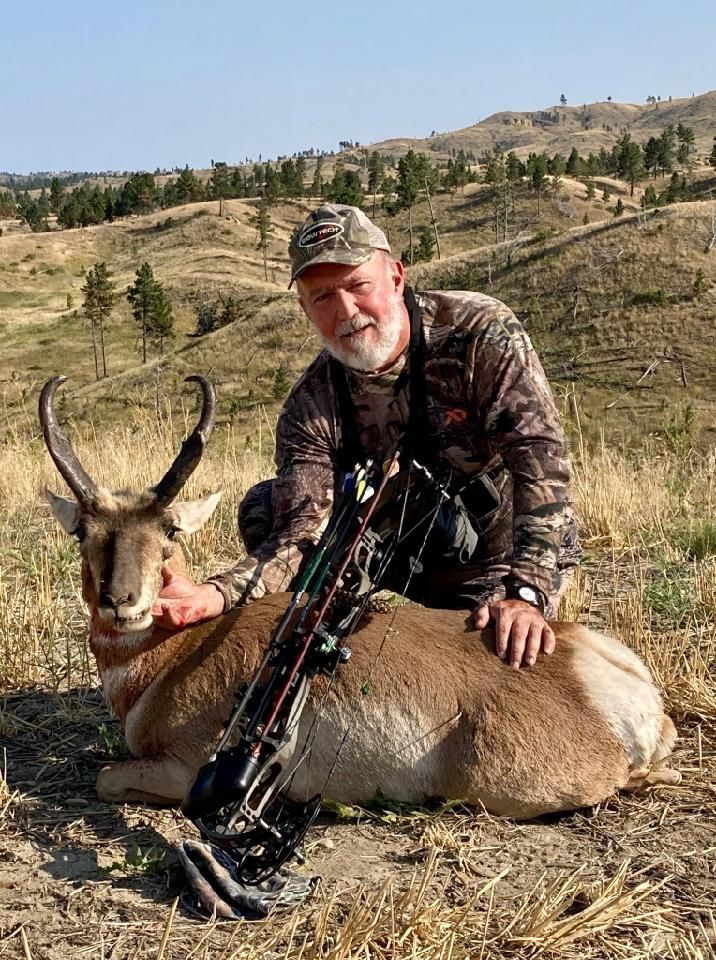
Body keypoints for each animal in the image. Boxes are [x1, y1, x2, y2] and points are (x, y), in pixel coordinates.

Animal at [40, 375, 680, 820]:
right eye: (83, 533)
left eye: (169, 532)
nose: (122, 603)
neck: (177, 652)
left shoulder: (185, 769)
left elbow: (105, 777)